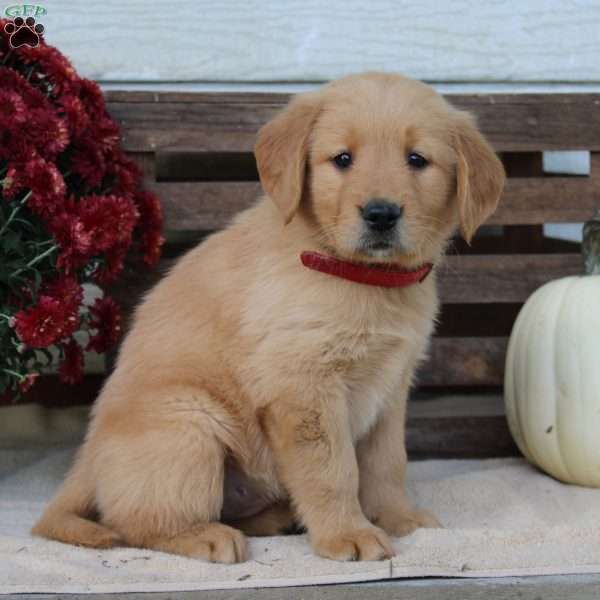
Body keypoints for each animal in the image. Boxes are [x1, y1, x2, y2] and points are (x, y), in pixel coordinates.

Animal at [30, 72, 504, 564]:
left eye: (417, 159)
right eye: (343, 159)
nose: (381, 213)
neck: (362, 278)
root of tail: (85, 462)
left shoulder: (391, 389)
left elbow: (386, 463)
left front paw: (399, 517)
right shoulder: (304, 387)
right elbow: (334, 470)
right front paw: (348, 534)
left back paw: (276, 518)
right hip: (190, 425)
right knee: (135, 521)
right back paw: (203, 535)